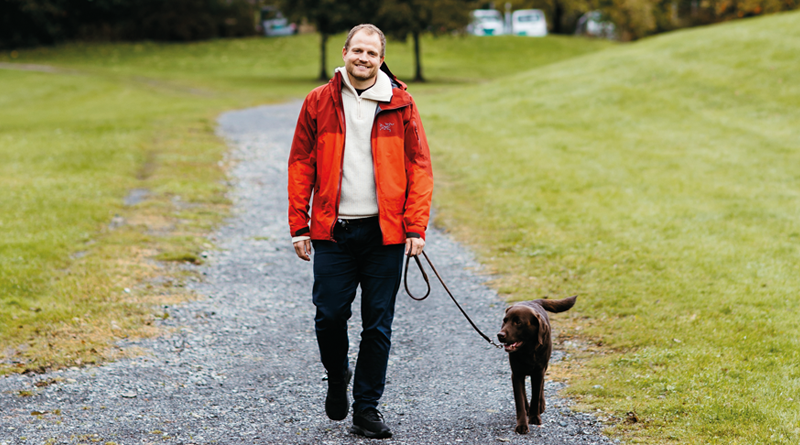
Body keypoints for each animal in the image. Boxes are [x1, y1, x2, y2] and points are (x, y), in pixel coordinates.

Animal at [494, 294, 576, 434]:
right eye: (505, 320)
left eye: (518, 322)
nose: (500, 335)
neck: (528, 351)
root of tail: (533, 301)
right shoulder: (516, 374)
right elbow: (520, 401)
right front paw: (522, 424)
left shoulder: (538, 372)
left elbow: (536, 394)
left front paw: (534, 417)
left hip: (544, 366)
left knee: (541, 386)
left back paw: (540, 405)